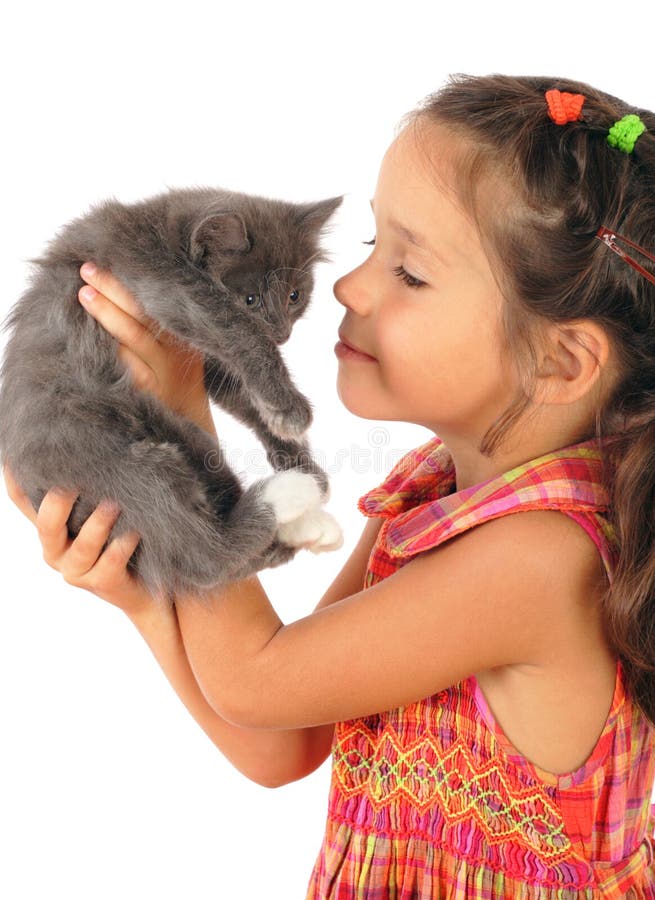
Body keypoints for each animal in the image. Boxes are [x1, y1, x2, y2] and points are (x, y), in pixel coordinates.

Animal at [0, 184, 346, 604]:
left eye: (295, 296)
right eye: (250, 300)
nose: (281, 333)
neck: (161, 230)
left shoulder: (206, 364)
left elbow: (243, 397)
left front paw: (297, 452)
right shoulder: (159, 278)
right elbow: (235, 329)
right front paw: (291, 411)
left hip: (183, 440)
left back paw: (306, 517)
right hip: (114, 459)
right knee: (201, 557)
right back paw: (289, 494)